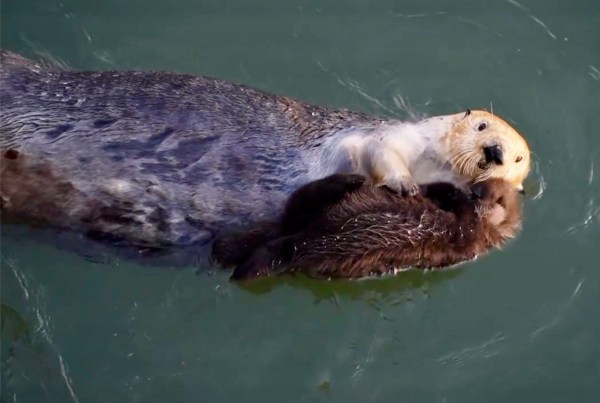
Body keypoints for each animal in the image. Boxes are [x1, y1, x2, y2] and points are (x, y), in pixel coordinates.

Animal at [0, 49, 528, 248]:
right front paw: (401, 183)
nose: (496, 152)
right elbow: (377, 153)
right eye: (481, 125)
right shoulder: (381, 137)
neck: (431, 165)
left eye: (519, 158)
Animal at [213, 174, 524, 280]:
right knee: (303, 202)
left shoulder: (467, 242)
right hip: (307, 216)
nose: (475, 192)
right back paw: (350, 180)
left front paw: (459, 198)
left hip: (308, 249)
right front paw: (449, 189)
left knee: (279, 250)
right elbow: (432, 189)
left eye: (492, 196)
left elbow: (464, 225)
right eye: (478, 183)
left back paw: (243, 267)